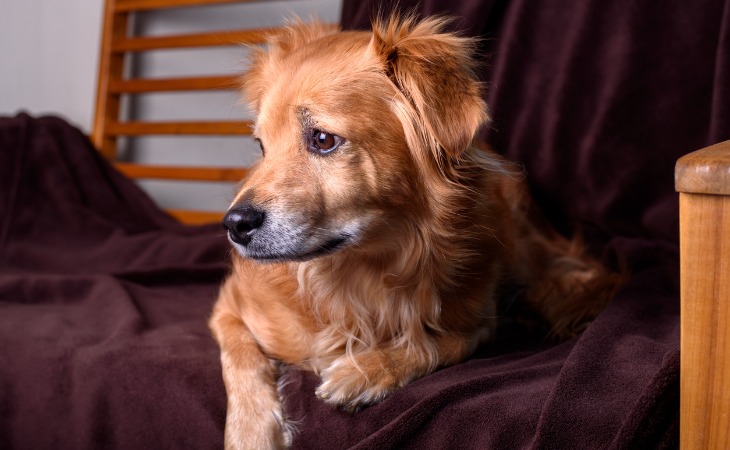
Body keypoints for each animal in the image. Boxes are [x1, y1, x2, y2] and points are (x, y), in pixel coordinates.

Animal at [208, 14, 616, 450]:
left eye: (322, 139)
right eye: (261, 146)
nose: (234, 225)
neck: (359, 276)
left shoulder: (479, 321)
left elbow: (437, 343)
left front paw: (369, 370)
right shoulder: (229, 305)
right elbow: (240, 358)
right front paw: (251, 432)